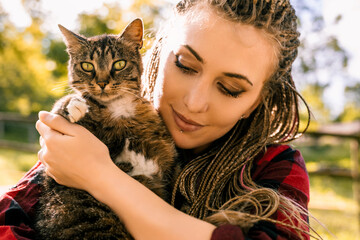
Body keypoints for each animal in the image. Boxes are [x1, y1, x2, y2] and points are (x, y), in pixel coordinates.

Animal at [33, 19, 176, 240]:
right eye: (87, 66)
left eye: (119, 64)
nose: (101, 83)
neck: (118, 108)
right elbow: (62, 105)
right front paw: (73, 104)